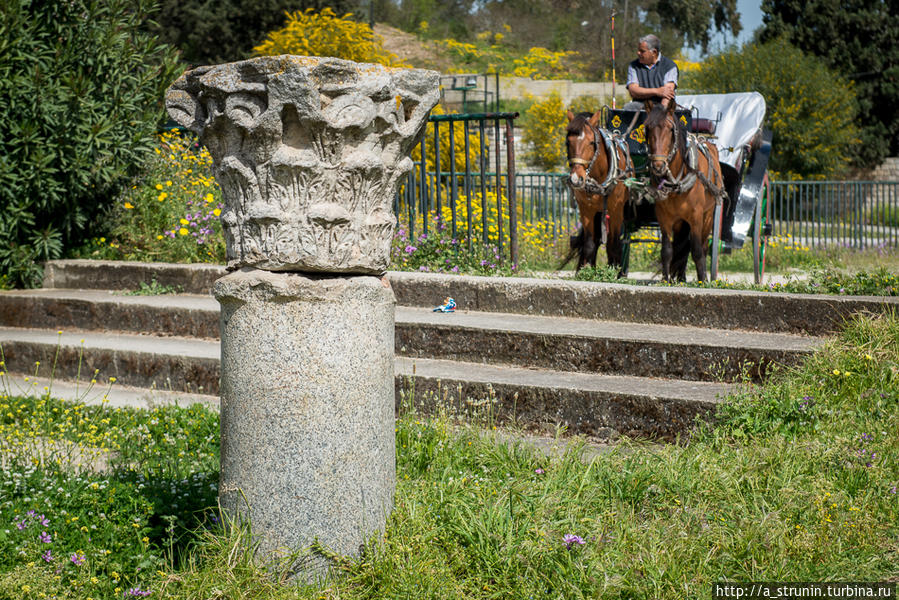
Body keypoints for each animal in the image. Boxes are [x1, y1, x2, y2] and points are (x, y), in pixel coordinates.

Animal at [568, 109, 628, 272]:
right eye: (568, 142)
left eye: (591, 142)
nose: (576, 179)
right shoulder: (586, 210)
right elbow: (589, 244)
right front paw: (586, 272)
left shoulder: (616, 210)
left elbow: (614, 244)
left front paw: (614, 272)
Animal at [644, 100, 728, 282]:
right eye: (647, 128)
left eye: (670, 129)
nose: (658, 166)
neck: (676, 181)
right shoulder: (664, 217)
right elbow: (667, 250)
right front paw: (665, 280)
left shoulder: (696, 216)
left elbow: (697, 250)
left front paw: (702, 280)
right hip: (679, 222)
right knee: (680, 247)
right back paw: (680, 277)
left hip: (708, 216)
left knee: (702, 246)